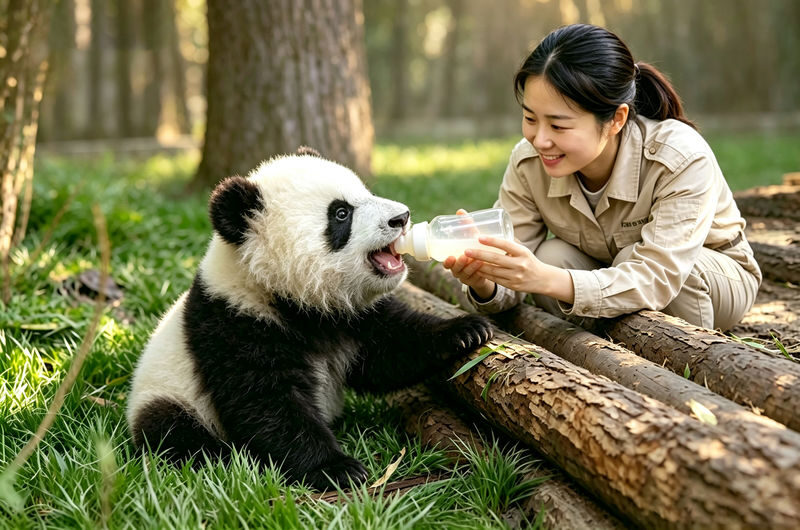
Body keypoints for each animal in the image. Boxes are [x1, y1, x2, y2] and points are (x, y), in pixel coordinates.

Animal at [126, 149, 493, 490]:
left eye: (365, 192)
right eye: (341, 213)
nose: (401, 217)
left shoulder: (353, 315)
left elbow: (390, 350)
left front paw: (466, 331)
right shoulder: (235, 322)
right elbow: (268, 404)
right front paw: (338, 468)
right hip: (168, 392)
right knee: (172, 430)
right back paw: (222, 457)